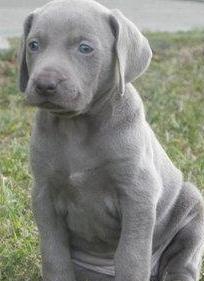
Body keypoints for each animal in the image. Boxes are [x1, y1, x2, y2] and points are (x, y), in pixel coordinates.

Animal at [18, 0, 203, 280]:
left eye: (85, 48)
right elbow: (54, 254)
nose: (44, 84)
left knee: (182, 261)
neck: (77, 126)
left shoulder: (137, 193)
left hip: (192, 206)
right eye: (34, 45)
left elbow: (131, 255)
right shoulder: (43, 193)